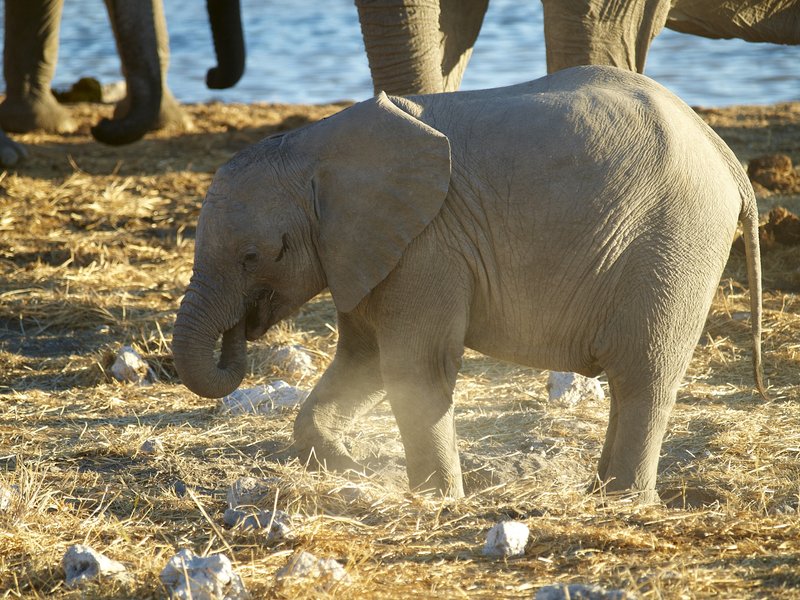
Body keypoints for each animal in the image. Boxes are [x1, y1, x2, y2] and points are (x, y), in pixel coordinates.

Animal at [172, 65, 766, 500]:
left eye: (254, 256)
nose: (239, 330)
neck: (312, 147)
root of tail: (724, 153)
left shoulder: (427, 245)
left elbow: (414, 364)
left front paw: (438, 499)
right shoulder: (368, 248)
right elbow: (364, 357)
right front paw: (350, 465)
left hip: (675, 240)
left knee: (644, 375)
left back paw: (624, 502)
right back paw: (602, 495)